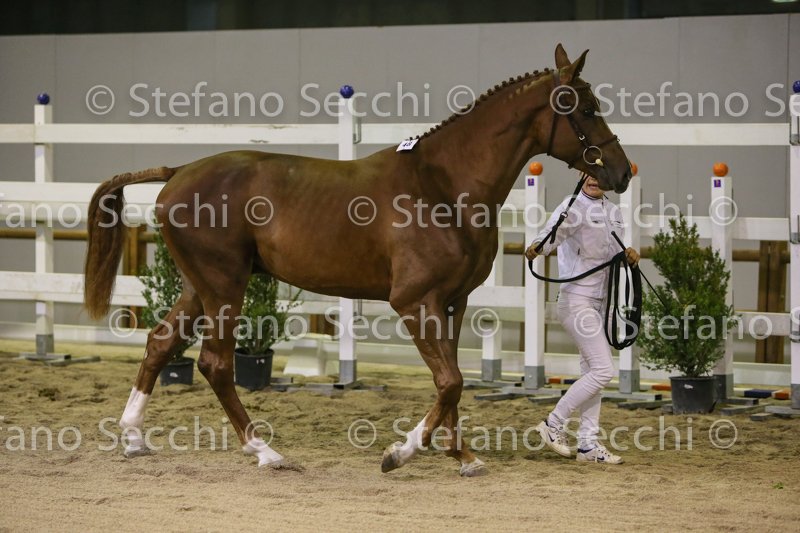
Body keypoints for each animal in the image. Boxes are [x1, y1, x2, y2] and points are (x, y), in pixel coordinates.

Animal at [83, 44, 631, 477]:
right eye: (583, 108)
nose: (622, 172)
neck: (444, 185)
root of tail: (177, 172)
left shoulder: (452, 304)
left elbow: (452, 383)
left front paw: (463, 457)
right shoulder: (414, 302)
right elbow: (450, 381)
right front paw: (400, 453)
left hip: (200, 287)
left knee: (160, 344)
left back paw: (133, 438)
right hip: (224, 287)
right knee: (215, 364)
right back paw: (264, 452)